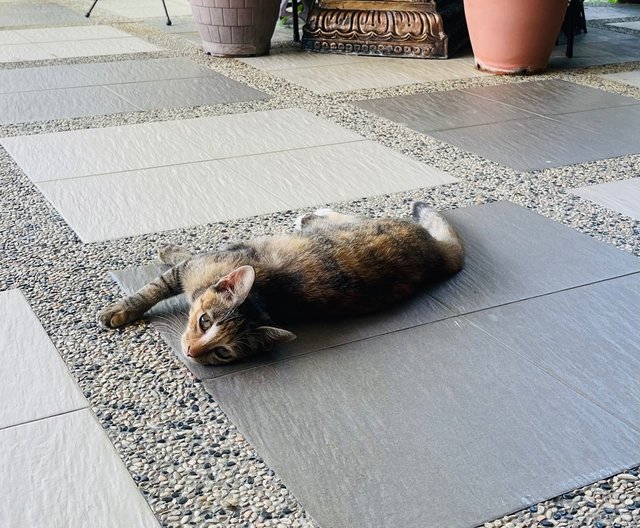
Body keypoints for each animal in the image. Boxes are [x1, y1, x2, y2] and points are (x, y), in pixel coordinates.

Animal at [97, 204, 462, 366]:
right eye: (204, 321)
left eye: (222, 352)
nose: (190, 352)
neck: (267, 294)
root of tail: (435, 253)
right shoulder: (198, 266)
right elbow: (157, 285)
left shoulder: (199, 264)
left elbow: (161, 280)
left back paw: (313, 214)